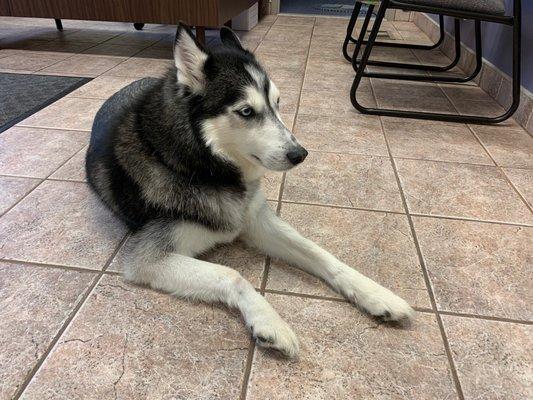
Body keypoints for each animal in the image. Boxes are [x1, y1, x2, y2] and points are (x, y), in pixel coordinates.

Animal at [86, 23, 412, 358]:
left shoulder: (256, 221)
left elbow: (318, 251)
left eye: (278, 103)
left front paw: (374, 293)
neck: (203, 167)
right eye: (246, 112)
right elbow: (232, 274)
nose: (300, 154)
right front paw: (269, 321)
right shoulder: (149, 258)